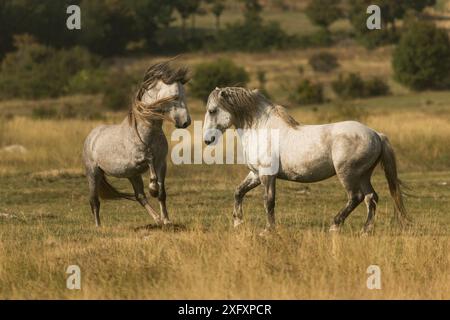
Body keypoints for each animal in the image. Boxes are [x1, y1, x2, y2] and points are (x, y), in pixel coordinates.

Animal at [82, 62, 190, 228]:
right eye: (175, 96)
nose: (186, 122)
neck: (148, 133)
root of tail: (91, 136)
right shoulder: (138, 160)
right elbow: (150, 161)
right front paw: (153, 187)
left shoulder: (161, 163)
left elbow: (162, 194)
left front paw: (166, 220)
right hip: (94, 173)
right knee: (94, 201)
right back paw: (98, 227)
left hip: (132, 175)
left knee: (140, 196)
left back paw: (157, 219)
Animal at [204, 87, 408, 235]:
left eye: (212, 110)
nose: (207, 140)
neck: (261, 129)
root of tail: (376, 135)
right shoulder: (256, 174)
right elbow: (238, 192)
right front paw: (238, 222)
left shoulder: (267, 175)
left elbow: (269, 202)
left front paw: (268, 230)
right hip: (364, 175)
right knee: (371, 198)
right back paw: (365, 230)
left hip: (348, 174)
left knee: (356, 197)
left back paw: (335, 225)